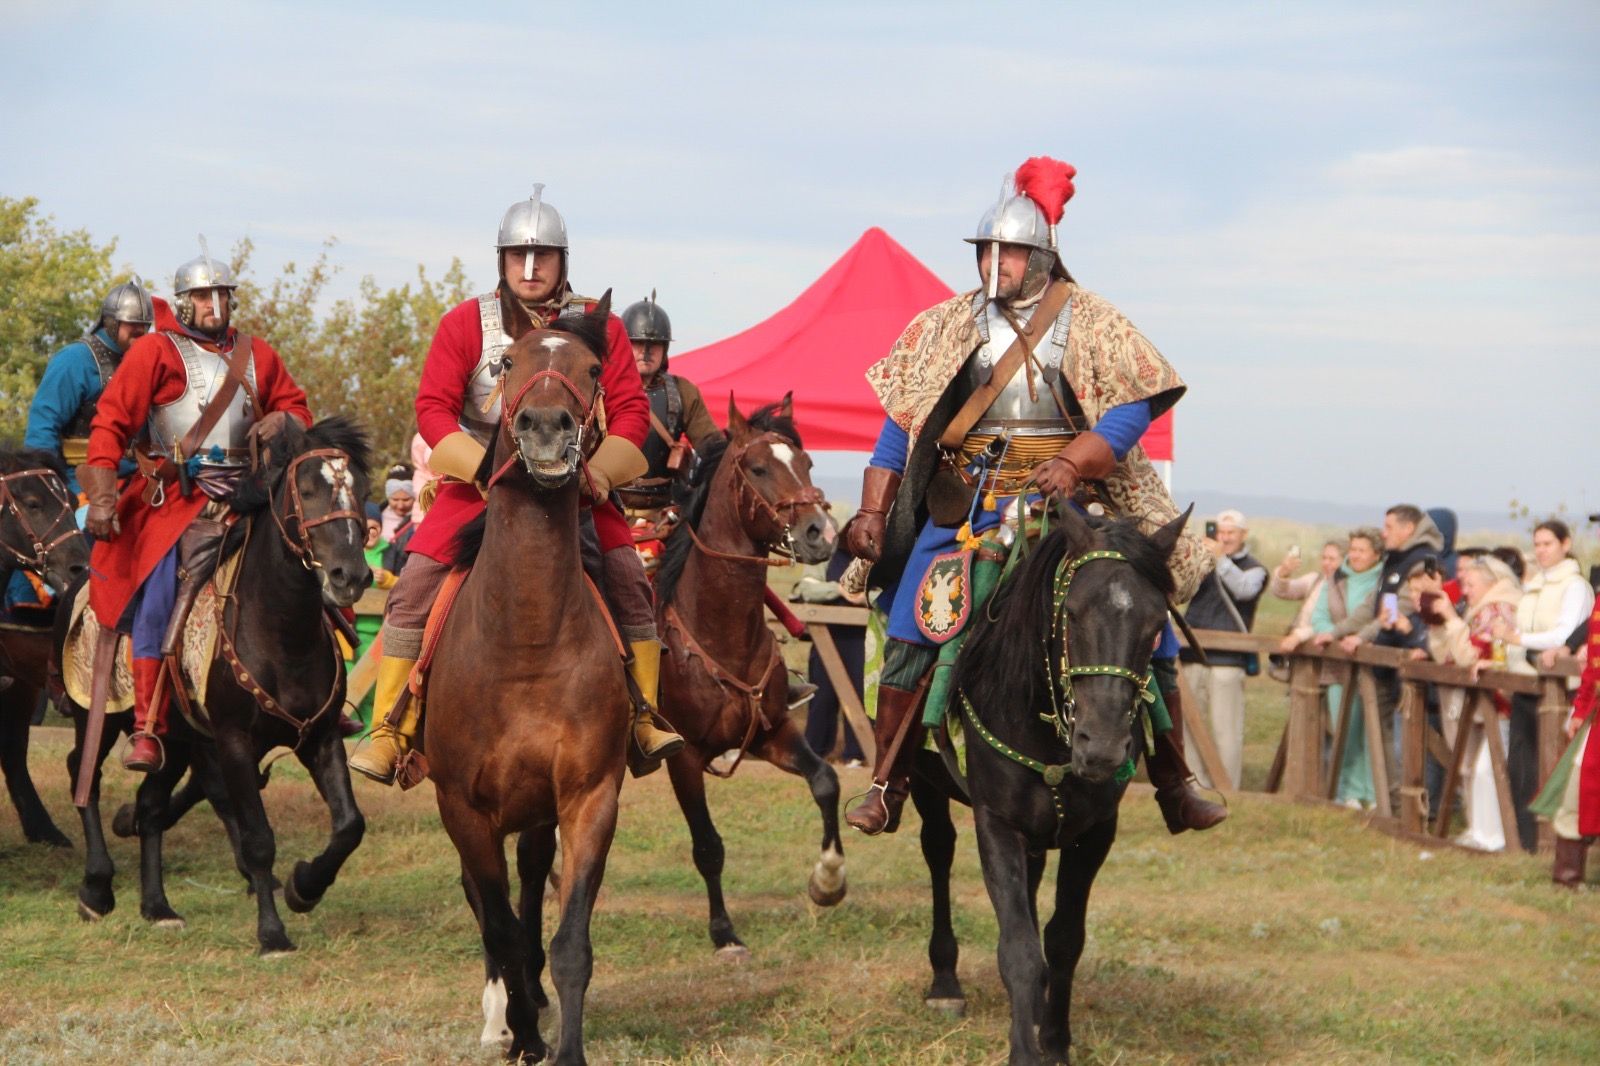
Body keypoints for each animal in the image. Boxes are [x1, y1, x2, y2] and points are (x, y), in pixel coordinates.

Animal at [63, 409, 374, 947]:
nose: (349, 576)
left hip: (174, 741)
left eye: (359, 488)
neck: (282, 632)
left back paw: (157, 905)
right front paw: (272, 934)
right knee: (86, 778)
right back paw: (97, 888)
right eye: (307, 489)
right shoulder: (233, 744)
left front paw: (305, 887)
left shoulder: (320, 737)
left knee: (149, 804)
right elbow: (257, 839)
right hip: (98, 717)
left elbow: (349, 826)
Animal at [428, 292, 633, 1062]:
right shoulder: (462, 808)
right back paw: (504, 1017)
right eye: (506, 363)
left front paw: (560, 1043)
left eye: (594, 367)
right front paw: (519, 1032)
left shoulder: (587, 799)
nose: (546, 429)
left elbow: (567, 939)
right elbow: (501, 930)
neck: (526, 643)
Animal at [649, 392, 838, 953]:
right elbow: (708, 846)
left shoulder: (771, 734)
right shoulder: (684, 757)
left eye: (807, 463)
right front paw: (724, 932)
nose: (821, 533)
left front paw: (827, 881)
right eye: (757, 468)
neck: (718, 634)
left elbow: (825, 781)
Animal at [915, 502, 1190, 1056]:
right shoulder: (996, 824)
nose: (1101, 748)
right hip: (921, 782)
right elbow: (1019, 947)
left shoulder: (1094, 832)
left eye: (1156, 625)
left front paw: (1055, 1040)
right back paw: (944, 982)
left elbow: (1063, 940)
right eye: (1075, 612)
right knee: (938, 850)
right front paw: (1025, 1048)